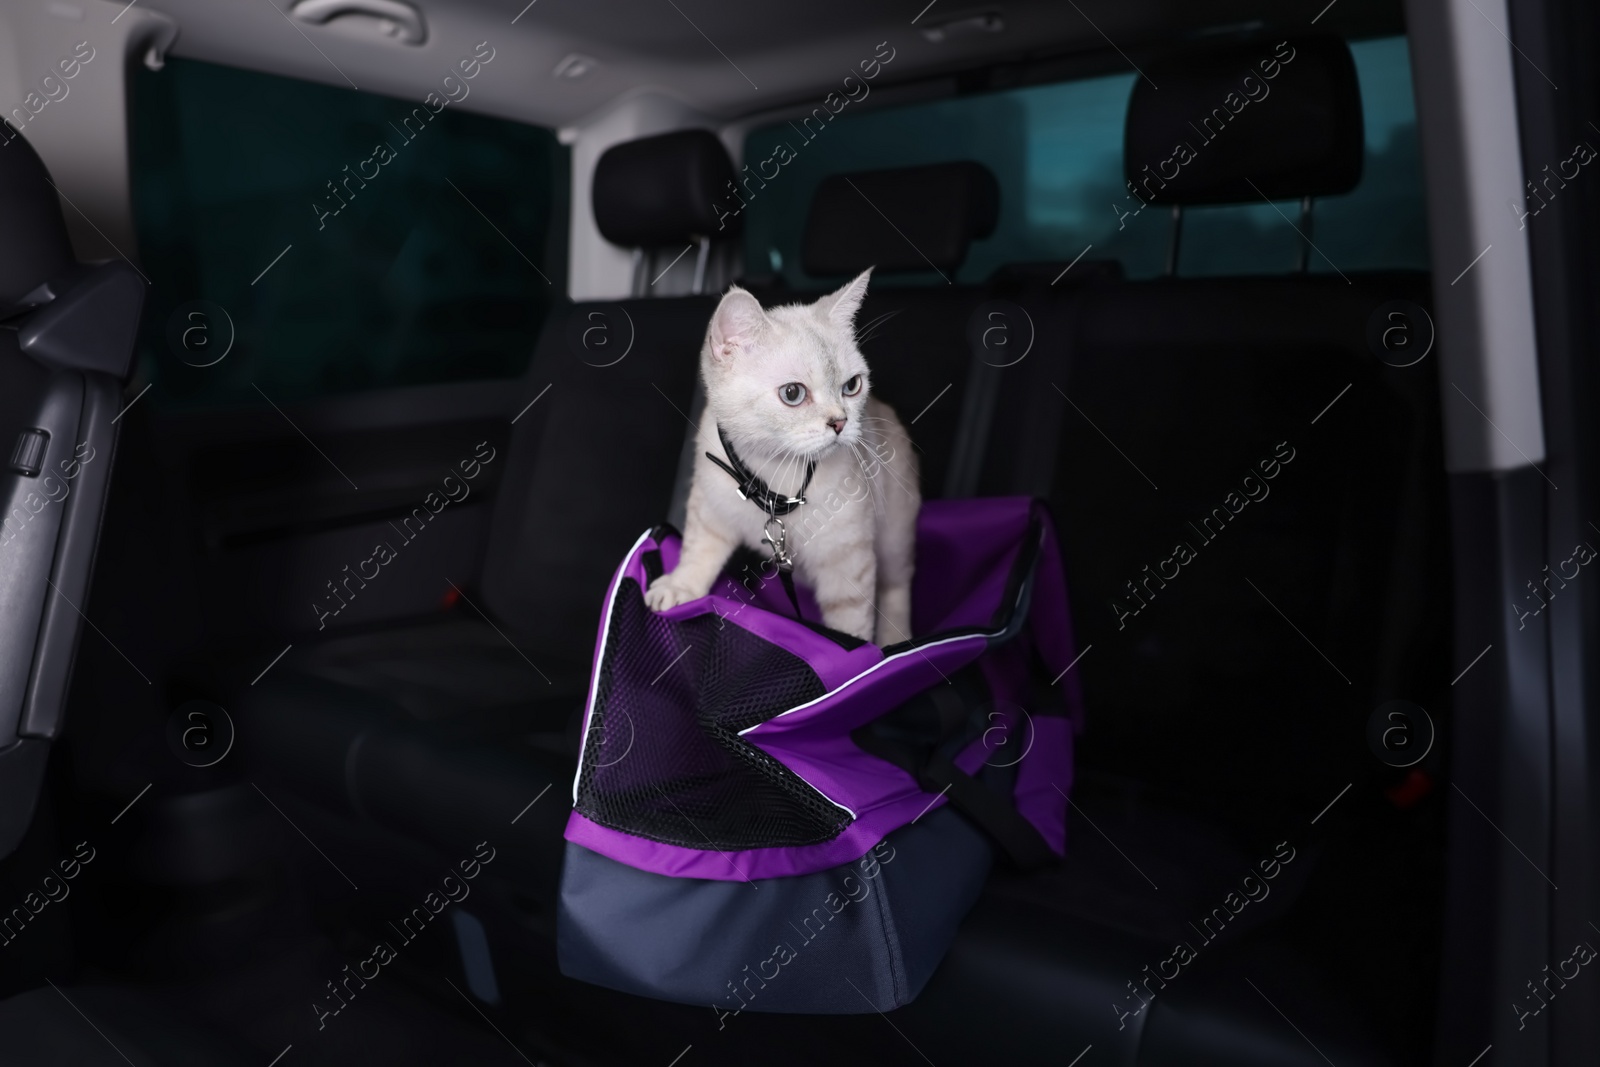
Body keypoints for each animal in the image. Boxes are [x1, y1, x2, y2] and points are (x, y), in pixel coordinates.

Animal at [640, 271, 921, 646]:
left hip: (894, 538)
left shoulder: (847, 560)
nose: (841, 422)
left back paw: (896, 640)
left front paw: (853, 649)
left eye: (852, 386)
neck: (775, 470)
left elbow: (851, 624)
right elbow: (699, 548)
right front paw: (681, 585)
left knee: (897, 587)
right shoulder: (709, 504)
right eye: (792, 393)